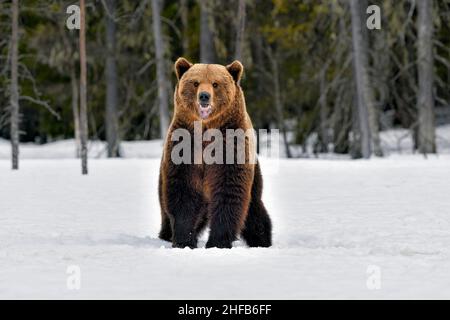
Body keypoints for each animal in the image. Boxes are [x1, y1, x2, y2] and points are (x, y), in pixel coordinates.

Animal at [158, 57, 270, 248]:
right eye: (195, 82)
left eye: (215, 84)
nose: (204, 96)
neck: (206, 128)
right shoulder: (184, 147)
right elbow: (183, 191)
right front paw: (184, 240)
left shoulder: (230, 147)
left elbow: (229, 191)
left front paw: (218, 242)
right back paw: (165, 234)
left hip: (255, 179)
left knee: (254, 211)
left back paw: (262, 239)